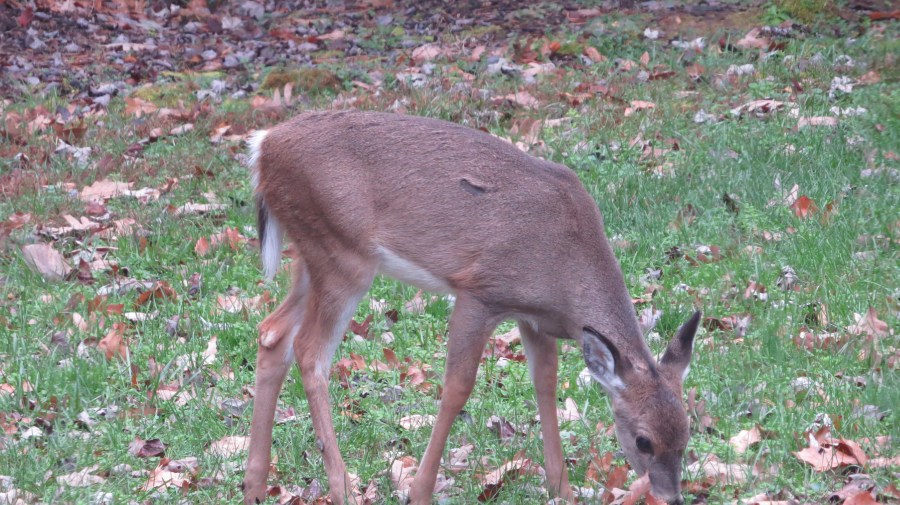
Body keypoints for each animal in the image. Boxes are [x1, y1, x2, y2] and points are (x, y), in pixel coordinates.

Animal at [241, 110, 701, 505]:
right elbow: (458, 387)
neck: (565, 269)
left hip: (313, 254)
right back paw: (342, 488)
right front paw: (419, 491)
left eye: (686, 433)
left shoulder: (532, 317)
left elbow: (545, 383)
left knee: (272, 333)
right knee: (310, 352)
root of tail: (263, 146)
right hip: (343, 254)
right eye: (643, 440)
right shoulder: (480, 291)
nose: (672, 496)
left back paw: (254, 485)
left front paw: (562, 489)